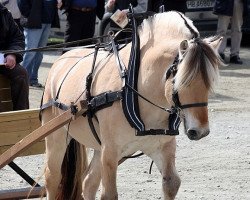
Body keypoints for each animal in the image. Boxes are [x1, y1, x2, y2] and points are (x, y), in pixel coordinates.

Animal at [41, 11, 223, 200]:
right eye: (183, 81)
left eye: (209, 82)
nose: (201, 131)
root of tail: (62, 58)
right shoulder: (111, 151)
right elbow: (109, 194)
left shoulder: (162, 147)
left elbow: (172, 184)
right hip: (57, 137)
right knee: (52, 178)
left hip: (99, 147)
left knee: (88, 182)